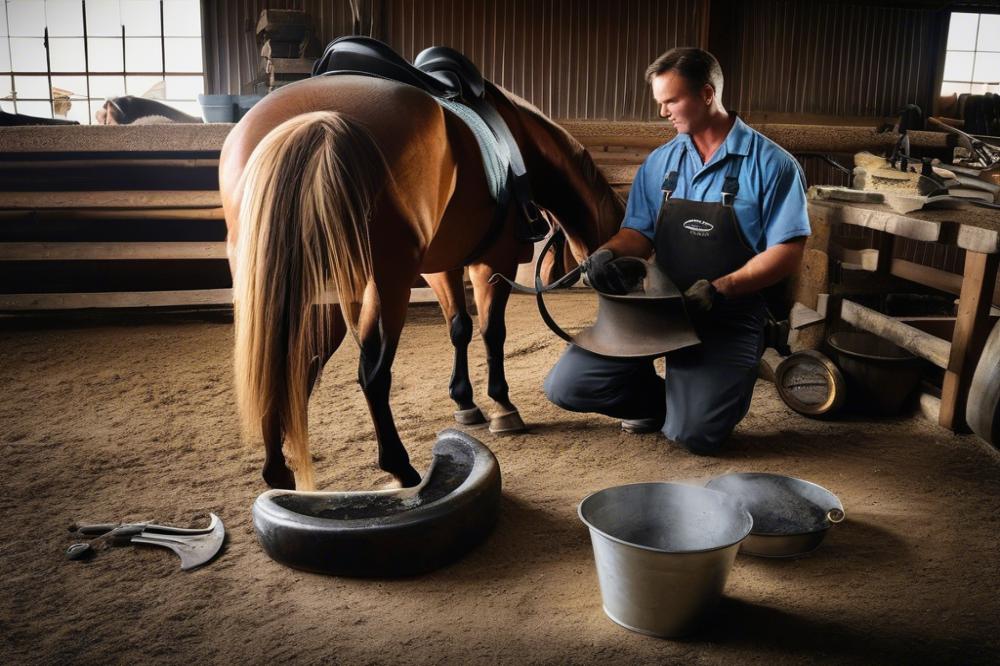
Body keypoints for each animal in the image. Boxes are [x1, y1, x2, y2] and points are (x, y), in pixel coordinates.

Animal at [222, 74, 620, 488]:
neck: (520, 140)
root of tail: (318, 120)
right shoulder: (494, 264)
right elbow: (492, 332)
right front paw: (502, 407)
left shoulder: (441, 268)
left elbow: (459, 327)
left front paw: (465, 402)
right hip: (387, 285)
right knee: (371, 374)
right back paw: (400, 467)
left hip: (311, 291)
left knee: (286, 368)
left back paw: (278, 470)